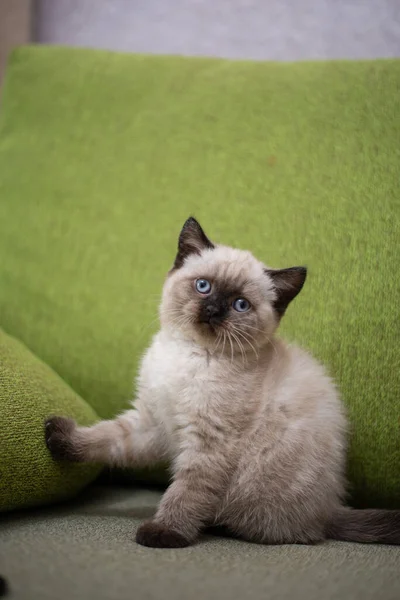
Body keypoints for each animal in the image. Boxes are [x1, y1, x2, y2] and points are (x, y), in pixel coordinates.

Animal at [44, 217, 400, 548]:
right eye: (203, 286)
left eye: (240, 304)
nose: (214, 309)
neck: (189, 354)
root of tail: (331, 509)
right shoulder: (153, 422)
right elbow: (107, 438)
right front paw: (59, 439)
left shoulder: (210, 442)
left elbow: (185, 492)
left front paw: (164, 532)